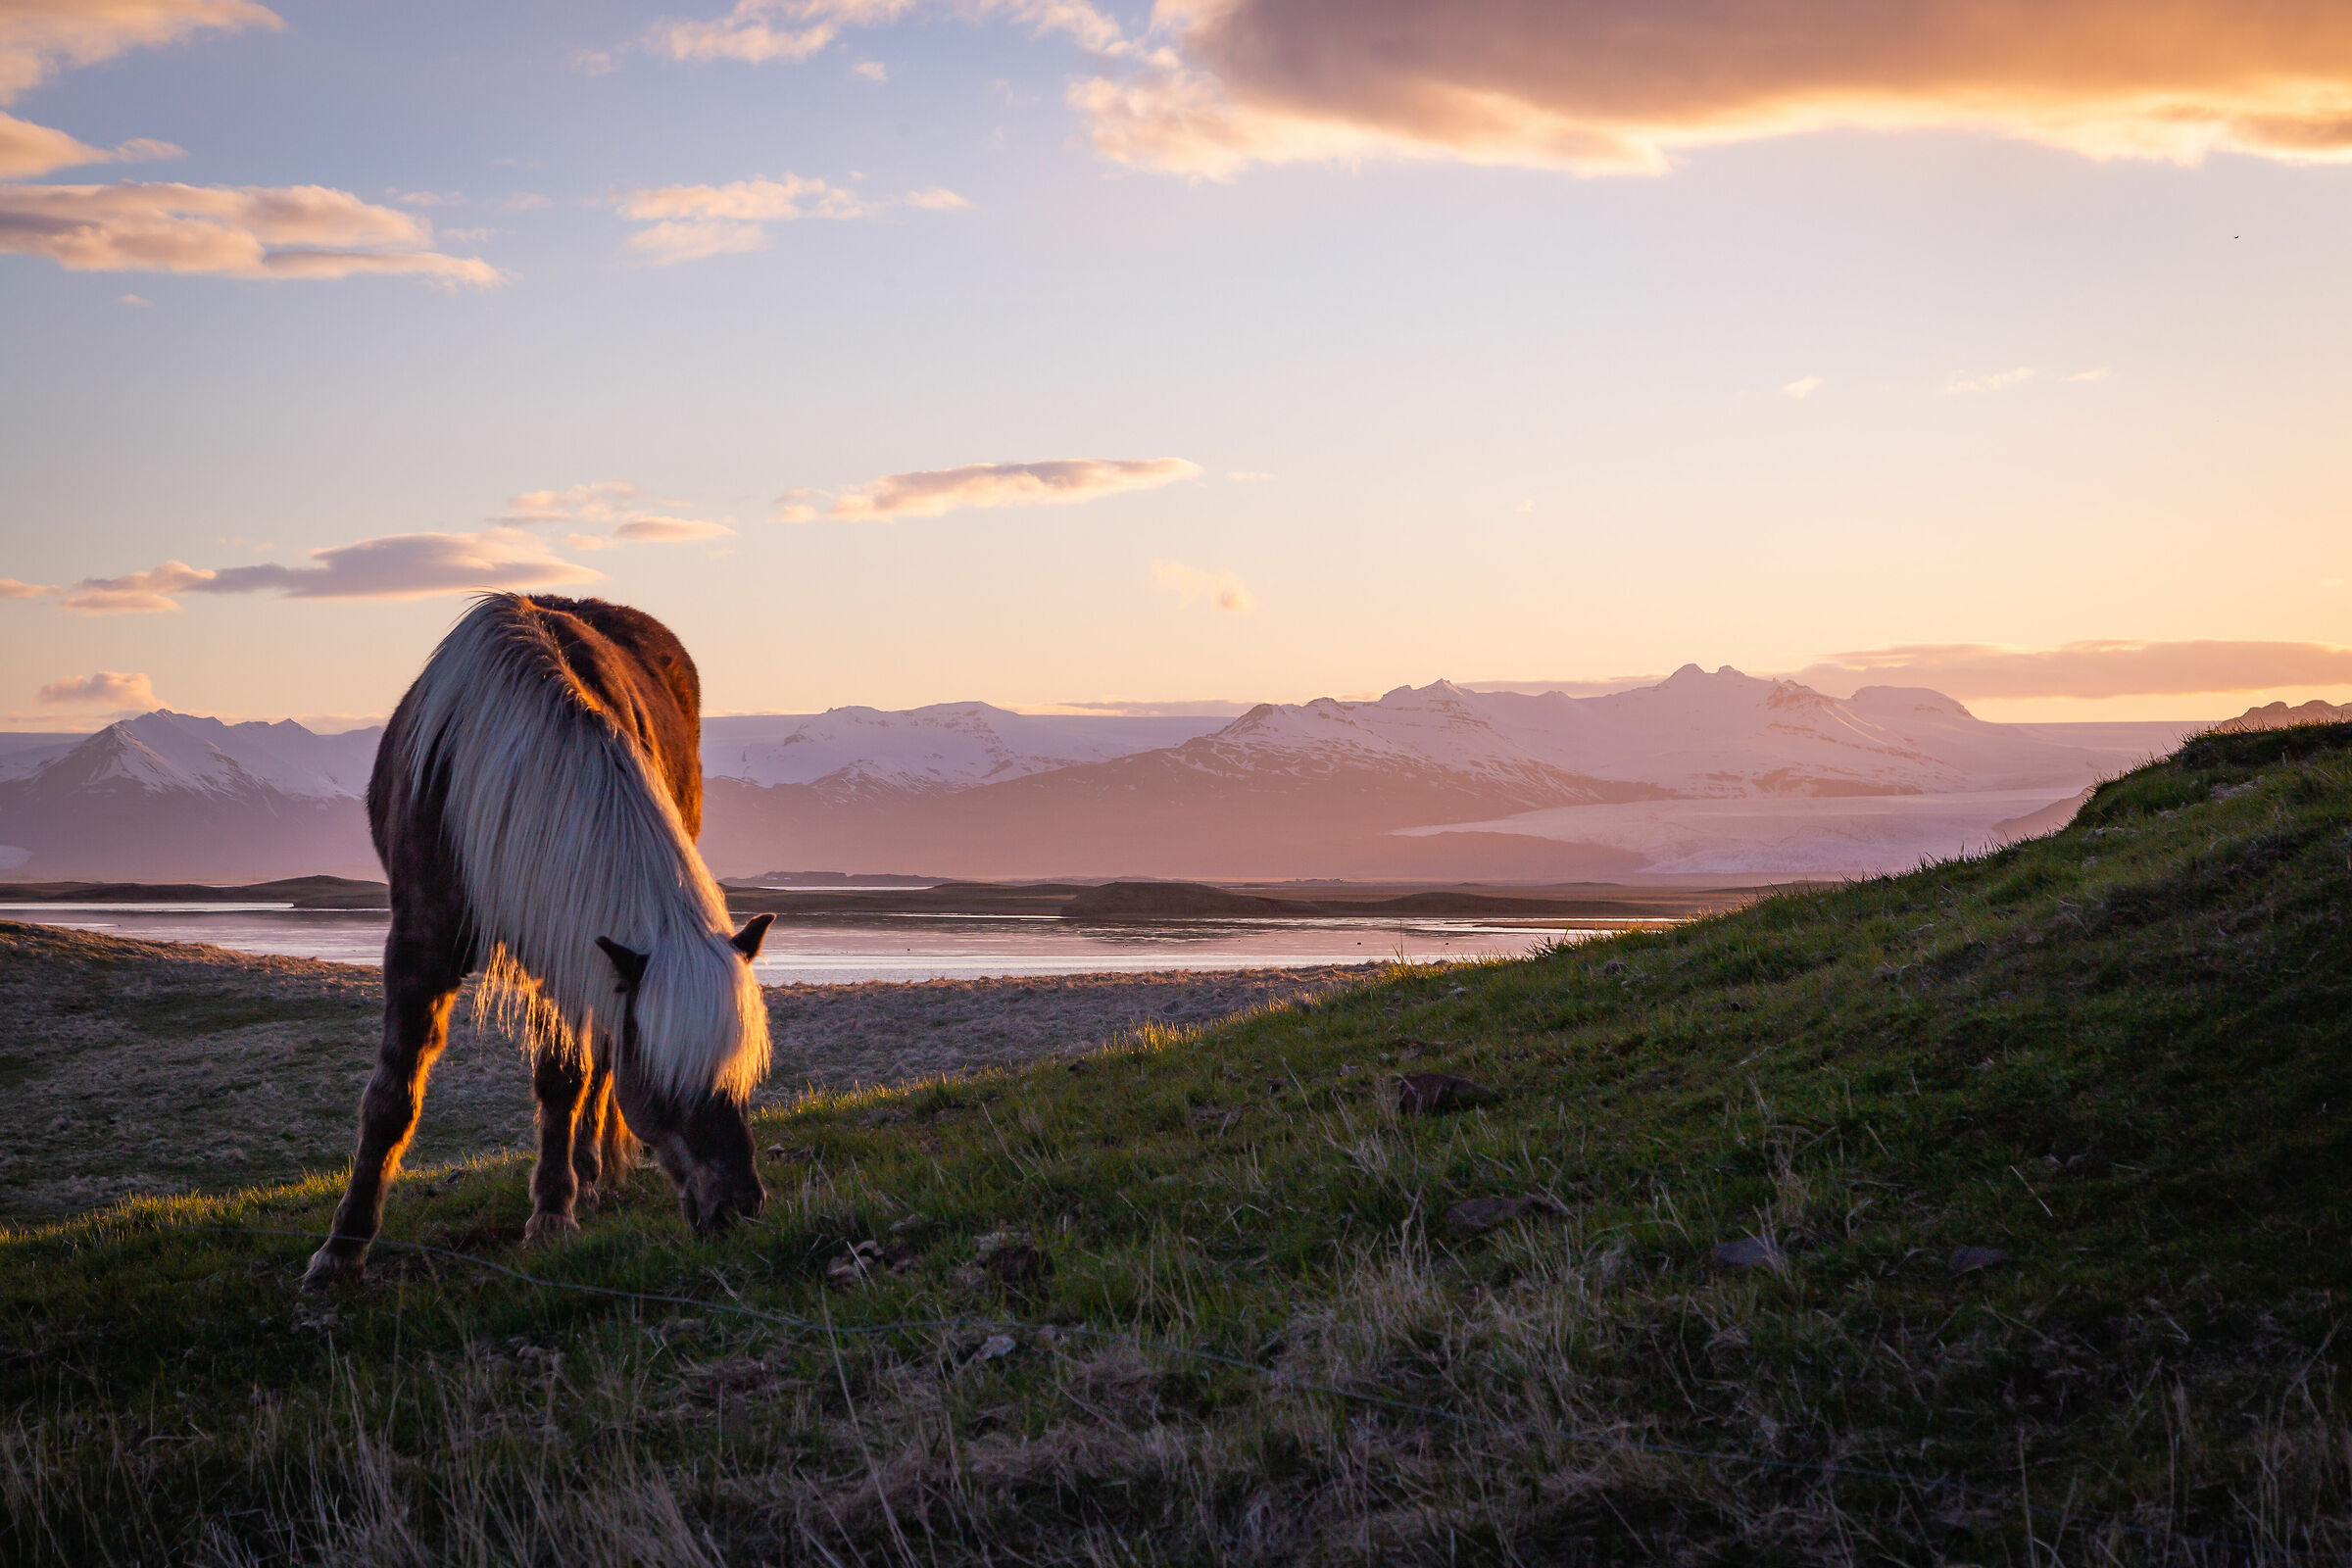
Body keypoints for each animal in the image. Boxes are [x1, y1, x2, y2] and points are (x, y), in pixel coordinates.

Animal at [303, 593, 775, 1290]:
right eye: (666, 1080)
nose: (740, 1210)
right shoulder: (420, 943)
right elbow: (391, 1096)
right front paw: (342, 1248)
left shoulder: (564, 943)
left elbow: (563, 1079)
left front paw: (553, 1213)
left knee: (596, 1062)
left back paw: (594, 1174)